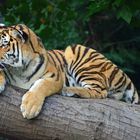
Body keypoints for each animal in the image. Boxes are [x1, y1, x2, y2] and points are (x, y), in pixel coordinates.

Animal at [0, 24, 138, 119]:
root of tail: (122, 73)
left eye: (4, 44)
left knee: (100, 91)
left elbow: (40, 86)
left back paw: (69, 90)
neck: (19, 70)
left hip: (74, 52)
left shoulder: (54, 77)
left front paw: (30, 107)